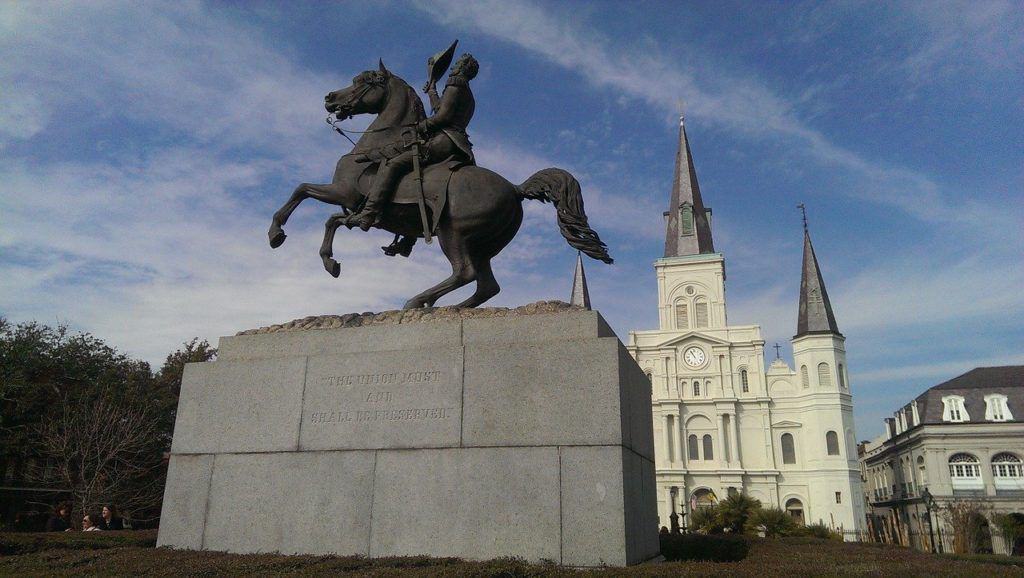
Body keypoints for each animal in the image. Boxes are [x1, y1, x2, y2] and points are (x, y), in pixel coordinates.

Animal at [268, 60, 610, 309]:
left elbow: (308, 196)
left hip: (453, 232)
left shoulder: (345, 193)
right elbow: (323, 211)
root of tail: (514, 189)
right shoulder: (346, 200)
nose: (329, 98)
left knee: (464, 272)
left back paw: (419, 301)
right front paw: (321, 256)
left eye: (360, 81)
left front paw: (283, 238)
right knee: (487, 285)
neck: (373, 147)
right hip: (483, 246)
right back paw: (453, 309)